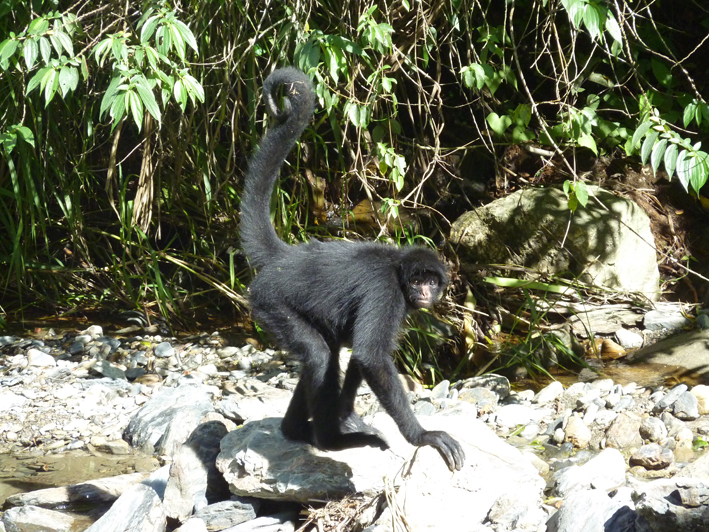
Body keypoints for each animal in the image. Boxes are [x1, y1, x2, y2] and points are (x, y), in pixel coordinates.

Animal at [241, 68, 468, 472]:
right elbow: (370, 356)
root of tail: (287, 258)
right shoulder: (387, 290)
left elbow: (360, 357)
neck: (397, 268)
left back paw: (297, 430)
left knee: (325, 352)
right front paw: (423, 436)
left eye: (431, 280)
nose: (424, 291)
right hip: (269, 301)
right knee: (319, 355)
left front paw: (346, 414)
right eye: (417, 280)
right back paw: (329, 441)